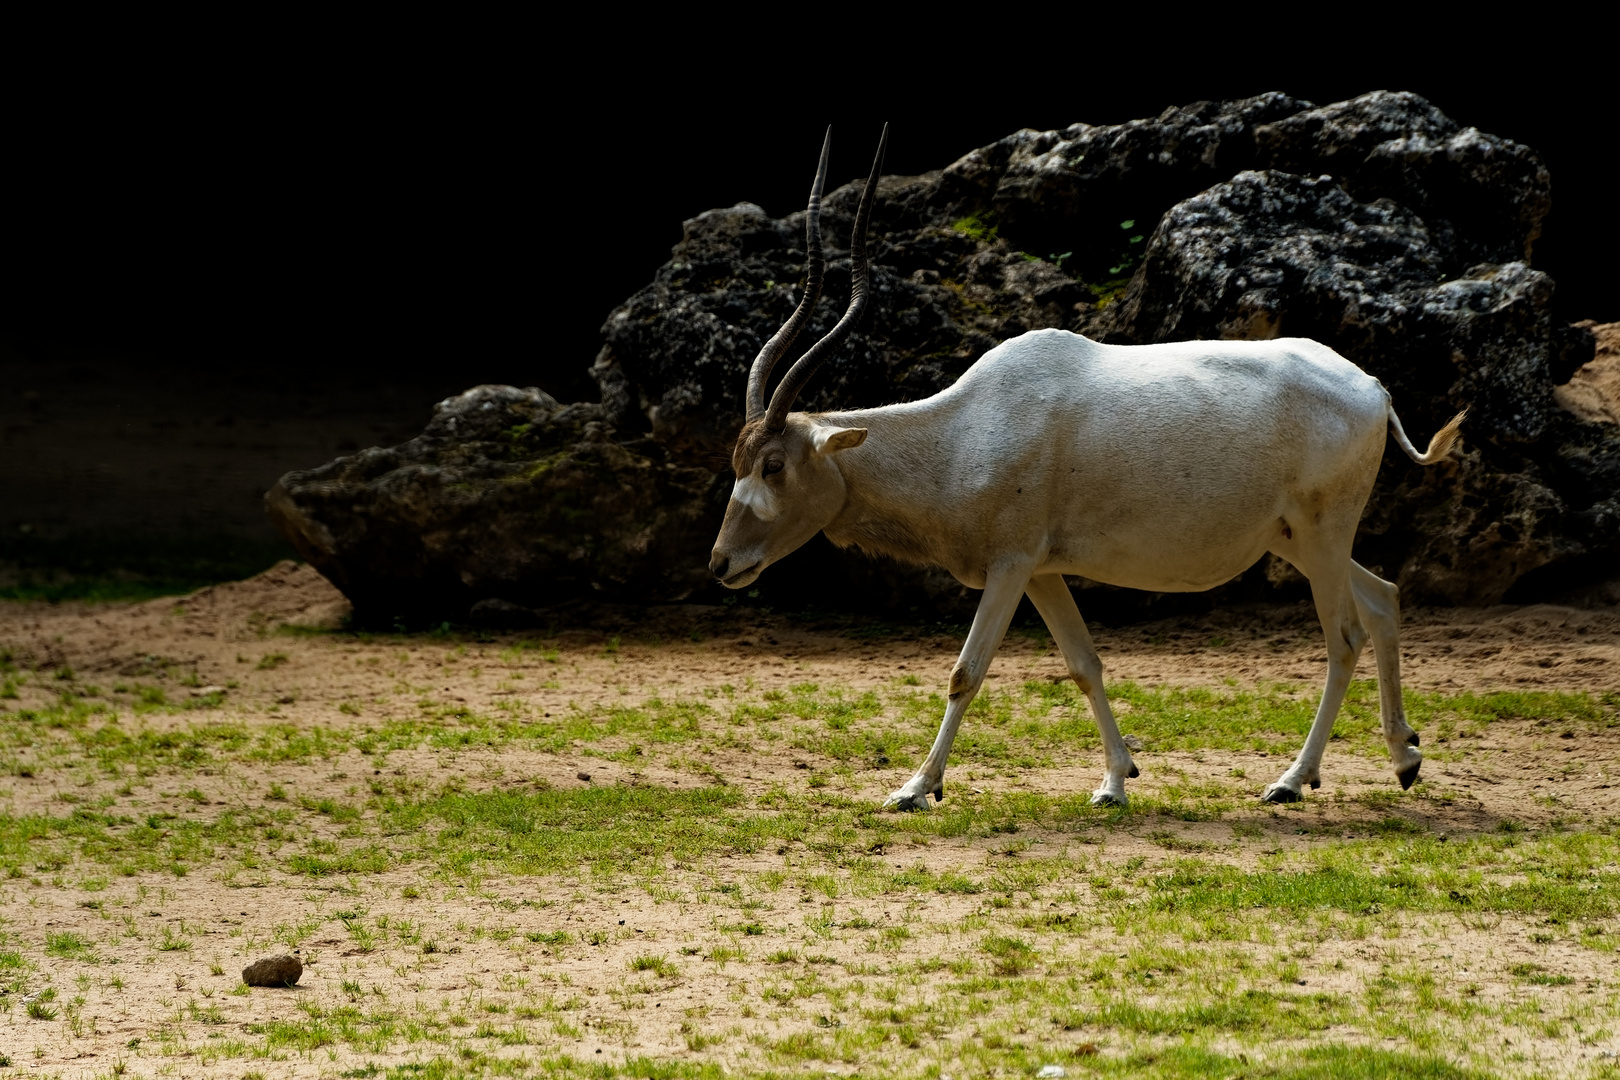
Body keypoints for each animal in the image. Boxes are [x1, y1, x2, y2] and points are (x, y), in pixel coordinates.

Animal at [709, 127, 1470, 806]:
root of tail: (1374, 389)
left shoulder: (1011, 565)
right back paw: (1404, 759)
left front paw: (915, 788)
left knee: (1344, 636)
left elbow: (965, 672)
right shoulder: (1042, 571)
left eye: (773, 465)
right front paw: (1115, 781)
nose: (720, 563)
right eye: (739, 460)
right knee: (1383, 599)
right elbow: (1083, 665)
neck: (963, 432)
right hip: (1301, 540)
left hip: (1321, 532)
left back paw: (1291, 780)